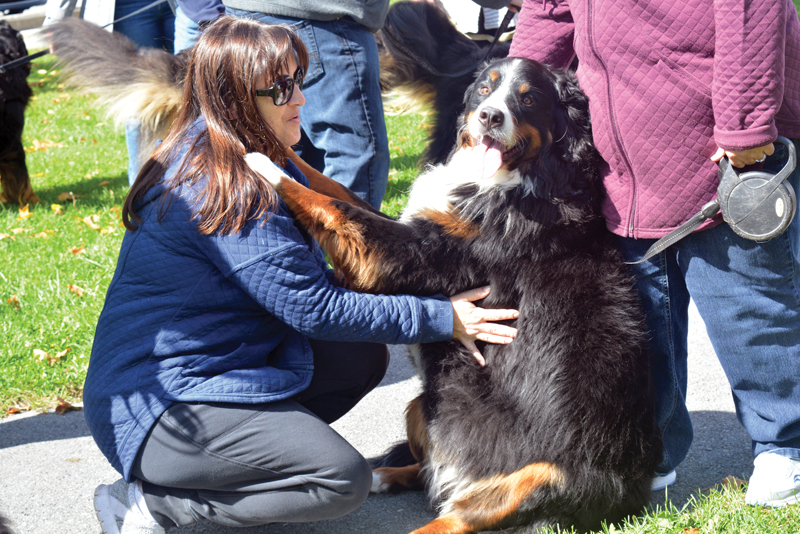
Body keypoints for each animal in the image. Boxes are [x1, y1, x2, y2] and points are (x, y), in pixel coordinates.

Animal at [247, 56, 660, 532]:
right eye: (485, 88)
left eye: (529, 98)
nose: (490, 117)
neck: (522, 182)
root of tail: (628, 499)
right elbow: (330, 186)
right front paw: (274, 144)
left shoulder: (407, 252)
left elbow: (334, 205)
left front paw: (259, 162)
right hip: (422, 404)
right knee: (431, 475)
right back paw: (387, 475)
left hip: (543, 475)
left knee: (455, 518)